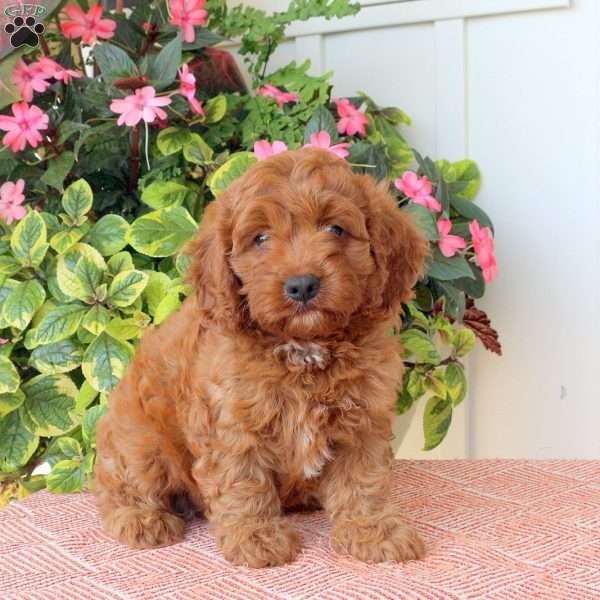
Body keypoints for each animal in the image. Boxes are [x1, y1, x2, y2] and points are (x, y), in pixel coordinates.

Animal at [96, 146, 428, 568]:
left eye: (335, 229)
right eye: (261, 238)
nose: (302, 285)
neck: (303, 347)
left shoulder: (363, 420)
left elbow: (364, 481)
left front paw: (374, 533)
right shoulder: (232, 423)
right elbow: (244, 481)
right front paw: (257, 538)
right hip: (141, 442)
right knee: (120, 485)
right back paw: (141, 519)